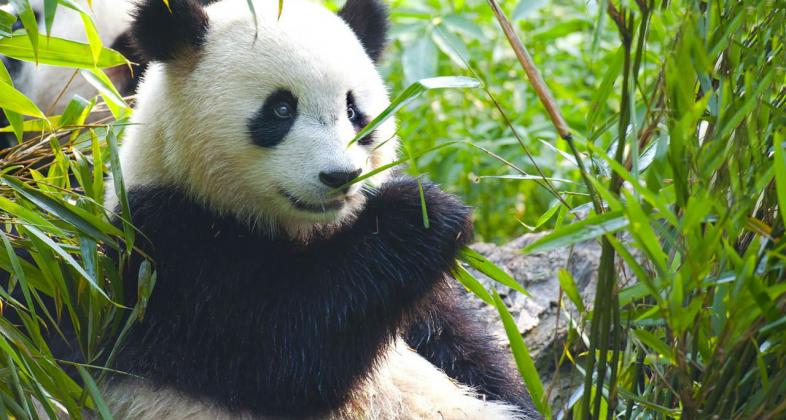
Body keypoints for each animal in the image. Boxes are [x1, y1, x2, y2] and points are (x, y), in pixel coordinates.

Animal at [101, 0, 536, 416]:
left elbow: (461, 348)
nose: (340, 175)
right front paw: (420, 213)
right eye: (280, 109)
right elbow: (280, 349)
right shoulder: (164, 251)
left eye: (353, 111)